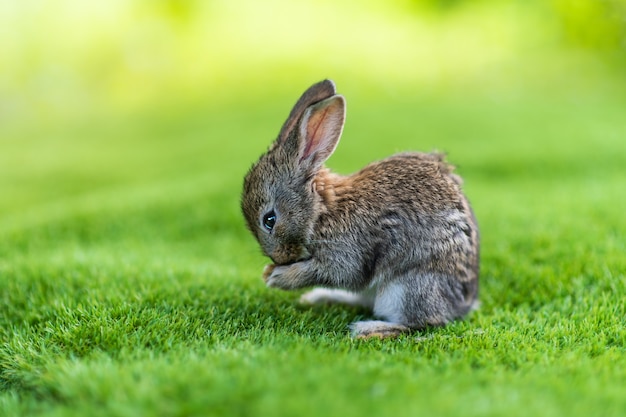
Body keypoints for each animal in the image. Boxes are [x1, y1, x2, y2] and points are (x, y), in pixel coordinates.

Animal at [240, 79, 478, 338]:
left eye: (269, 220)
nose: (278, 258)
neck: (321, 211)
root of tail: (464, 303)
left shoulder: (347, 252)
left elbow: (333, 272)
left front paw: (277, 277)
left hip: (409, 288)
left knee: (421, 323)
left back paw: (369, 328)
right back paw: (322, 298)